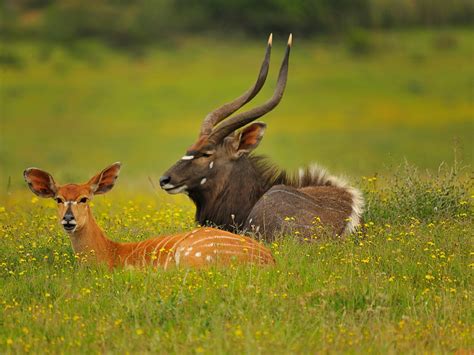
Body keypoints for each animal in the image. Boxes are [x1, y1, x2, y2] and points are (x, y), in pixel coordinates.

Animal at [23, 163, 274, 270]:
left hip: (193, 253)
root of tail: (268, 260)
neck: (110, 253)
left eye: (85, 198)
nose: (68, 219)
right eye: (58, 199)